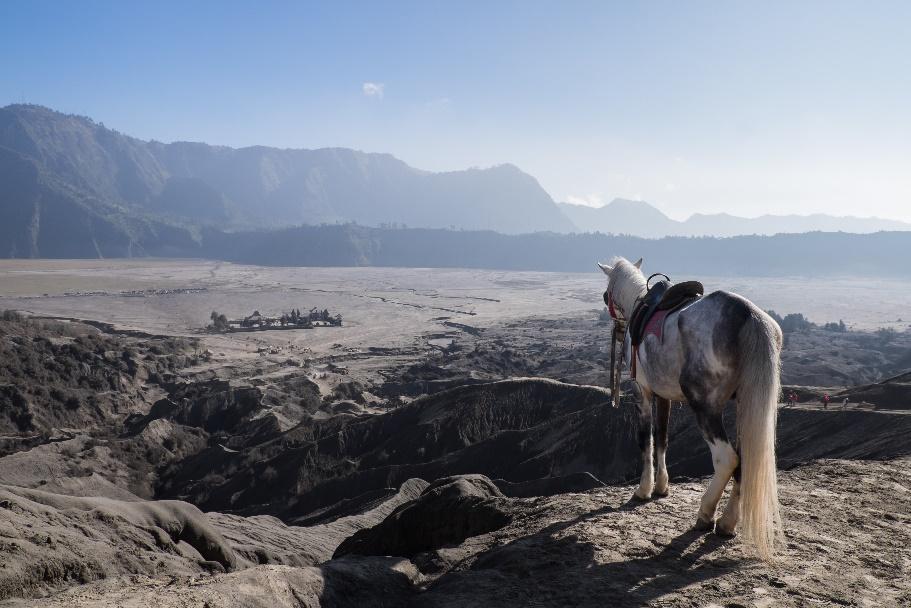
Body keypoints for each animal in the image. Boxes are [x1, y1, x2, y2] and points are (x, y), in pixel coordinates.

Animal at [600, 256, 784, 560]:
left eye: (607, 292)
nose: (615, 321)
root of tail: (748, 316)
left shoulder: (643, 392)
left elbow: (646, 440)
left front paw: (644, 489)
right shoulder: (664, 396)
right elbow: (663, 438)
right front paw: (662, 487)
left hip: (705, 407)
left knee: (727, 459)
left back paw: (706, 514)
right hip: (746, 407)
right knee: (745, 460)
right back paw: (727, 522)